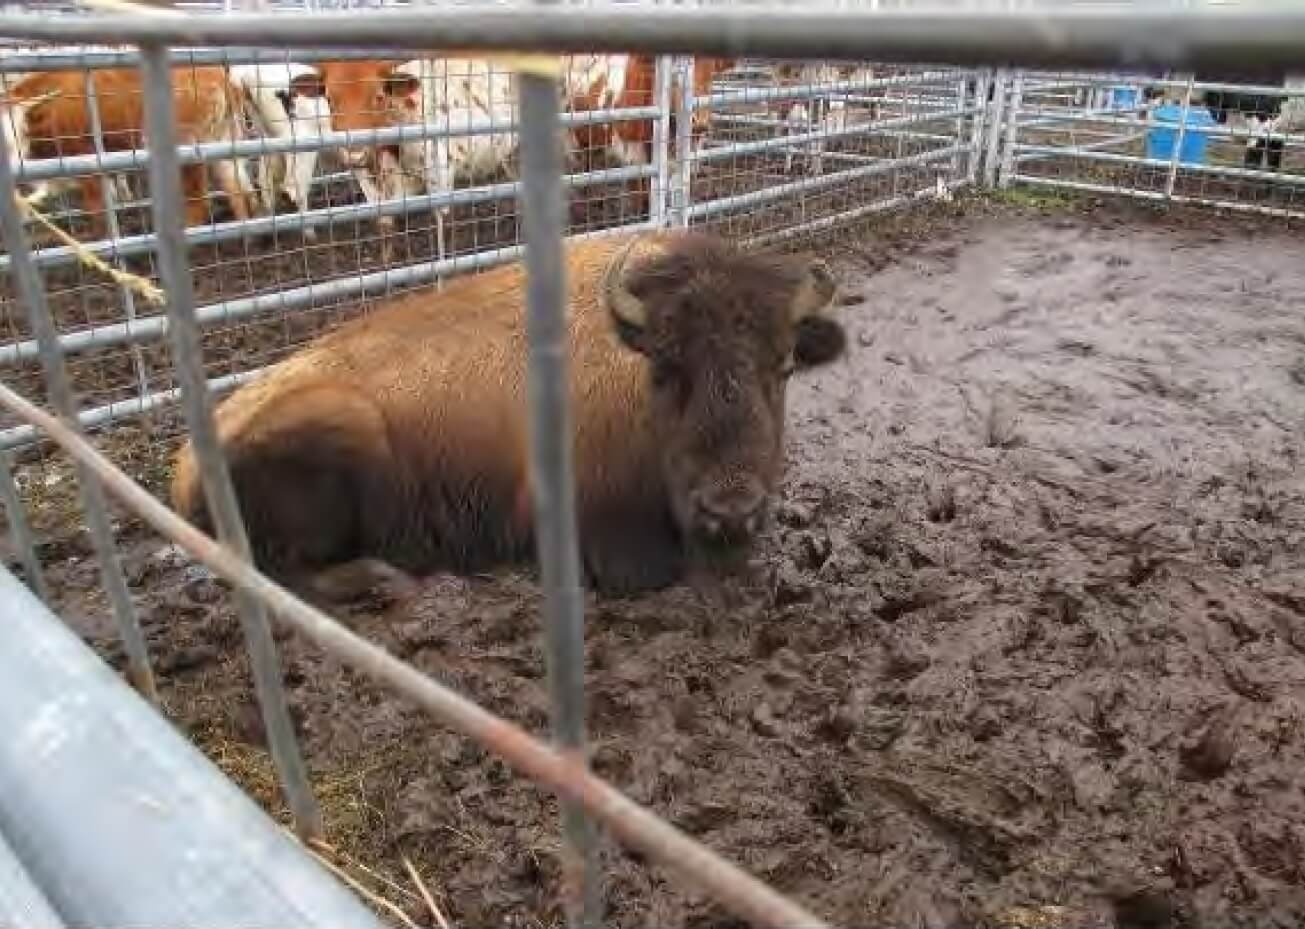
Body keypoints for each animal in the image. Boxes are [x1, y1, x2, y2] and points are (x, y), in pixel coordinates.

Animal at [170, 228, 845, 597]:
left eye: (785, 365)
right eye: (662, 368)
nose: (730, 509)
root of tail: (184, 466)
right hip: (346, 426)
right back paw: (389, 582)